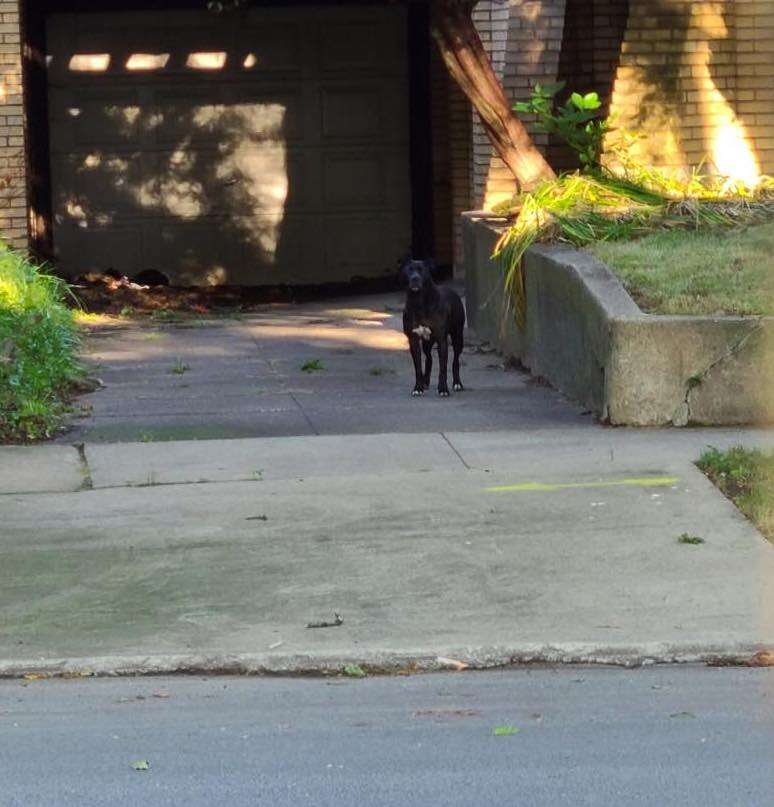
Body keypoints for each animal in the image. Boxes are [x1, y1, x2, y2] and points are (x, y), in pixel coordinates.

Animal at [404, 258, 464, 398]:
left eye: (422, 270)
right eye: (409, 270)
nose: (414, 278)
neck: (419, 302)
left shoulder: (442, 340)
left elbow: (443, 368)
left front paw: (443, 389)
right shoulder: (413, 340)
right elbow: (418, 367)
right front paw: (418, 388)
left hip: (458, 337)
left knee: (455, 361)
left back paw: (457, 383)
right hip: (427, 342)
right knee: (429, 359)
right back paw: (425, 382)